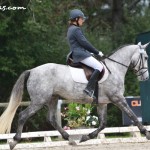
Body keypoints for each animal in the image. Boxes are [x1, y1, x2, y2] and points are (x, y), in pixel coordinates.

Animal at [0, 42, 149, 149]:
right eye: (146, 57)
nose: (145, 78)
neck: (115, 69)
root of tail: (32, 71)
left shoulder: (102, 103)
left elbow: (103, 124)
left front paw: (85, 137)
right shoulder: (118, 99)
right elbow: (133, 116)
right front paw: (146, 133)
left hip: (52, 99)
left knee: (52, 119)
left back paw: (70, 139)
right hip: (39, 100)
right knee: (23, 115)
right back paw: (14, 142)